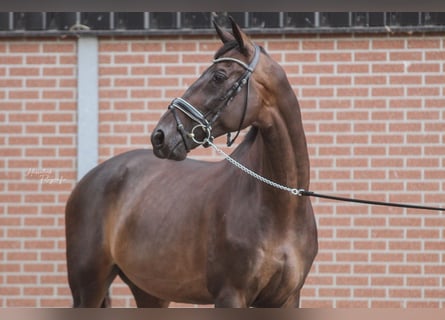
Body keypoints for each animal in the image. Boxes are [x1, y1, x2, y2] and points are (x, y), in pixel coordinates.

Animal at [65, 17, 316, 308]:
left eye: (218, 76)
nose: (160, 136)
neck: (281, 208)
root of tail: (88, 180)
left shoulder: (287, 299)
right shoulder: (230, 295)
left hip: (150, 292)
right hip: (88, 289)